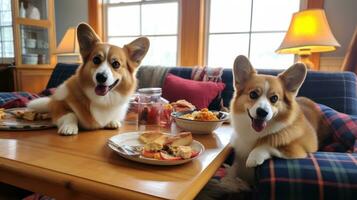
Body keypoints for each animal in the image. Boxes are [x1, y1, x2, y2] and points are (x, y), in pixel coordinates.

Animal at [225, 55, 328, 186]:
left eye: (274, 98)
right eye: (253, 94)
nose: (262, 112)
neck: (255, 133)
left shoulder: (297, 150)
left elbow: (269, 145)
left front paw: (253, 157)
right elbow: (233, 170)